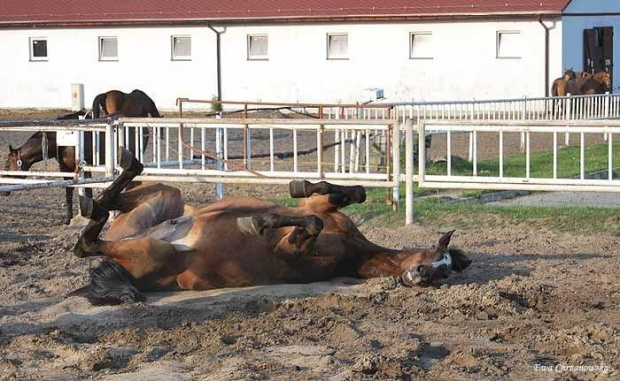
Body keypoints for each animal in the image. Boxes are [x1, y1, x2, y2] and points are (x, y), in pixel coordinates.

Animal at [71, 150, 470, 304]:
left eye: (444, 274)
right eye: (438, 255)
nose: (420, 275)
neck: (354, 249)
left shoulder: (294, 250)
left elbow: (308, 223)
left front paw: (257, 222)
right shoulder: (321, 210)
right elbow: (337, 195)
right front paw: (298, 188)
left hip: (151, 250)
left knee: (87, 243)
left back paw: (97, 204)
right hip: (167, 200)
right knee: (97, 223)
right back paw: (110, 183)